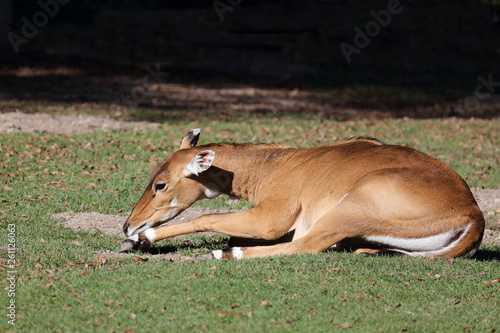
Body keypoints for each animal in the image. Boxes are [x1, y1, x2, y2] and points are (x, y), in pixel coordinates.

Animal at [120, 128, 484, 258]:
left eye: (160, 184)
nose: (127, 225)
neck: (275, 165)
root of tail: (473, 215)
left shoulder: (270, 220)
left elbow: (206, 217)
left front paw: (141, 239)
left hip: (345, 211)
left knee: (305, 246)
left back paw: (228, 254)